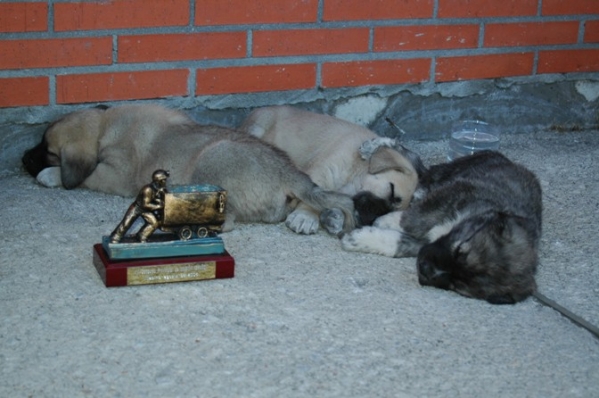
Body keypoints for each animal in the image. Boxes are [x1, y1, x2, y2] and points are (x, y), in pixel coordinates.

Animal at [240, 105, 422, 236]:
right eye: (392, 191)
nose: (366, 221)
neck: (356, 172)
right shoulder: (321, 173)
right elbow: (313, 196)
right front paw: (305, 216)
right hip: (257, 128)